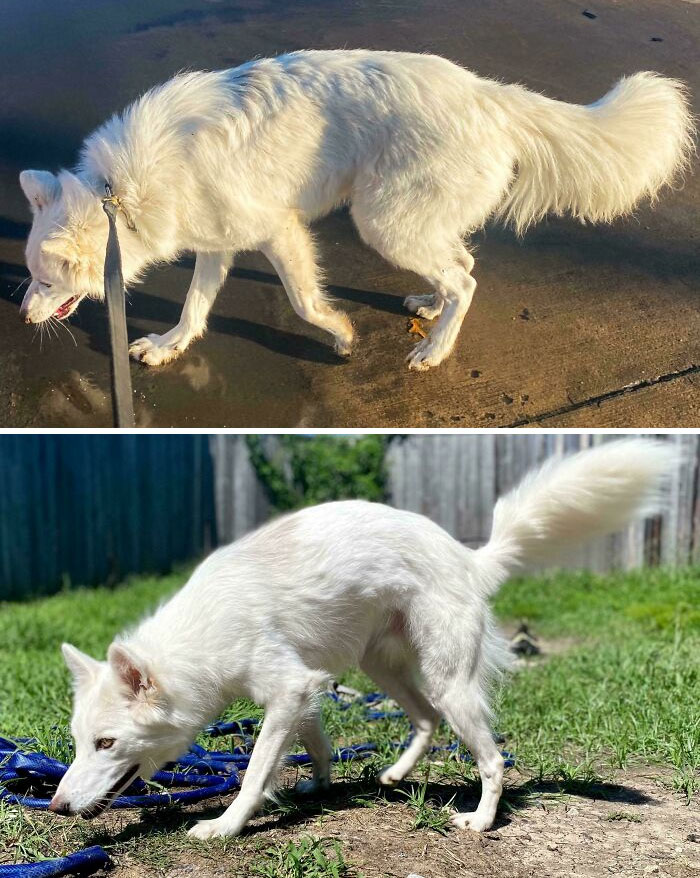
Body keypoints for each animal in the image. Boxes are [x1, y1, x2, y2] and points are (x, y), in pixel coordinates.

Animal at [19, 49, 692, 372]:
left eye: (44, 281)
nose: (21, 316)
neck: (118, 194)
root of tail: (489, 96)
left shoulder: (278, 231)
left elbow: (302, 300)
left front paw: (340, 335)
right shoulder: (218, 242)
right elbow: (195, 306)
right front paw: (169, 346)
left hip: (382, 221)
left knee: (467, 280)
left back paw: (434, 350)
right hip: (409, 220)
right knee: (462, 264)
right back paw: (432, 310)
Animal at [49, 440, 672, 840]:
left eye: (106, 743)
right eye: (78, 743)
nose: (54, 805)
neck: (199, 639)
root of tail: (470, 558)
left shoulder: (288, 688)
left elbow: (253, 772)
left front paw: (225, 826)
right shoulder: (306, 690)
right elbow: (316, 744)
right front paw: (319, 785)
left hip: (449, 682)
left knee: (492, 759)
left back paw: (480, 820)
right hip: (384, 669)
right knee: (425, 719)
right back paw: (395, 775)